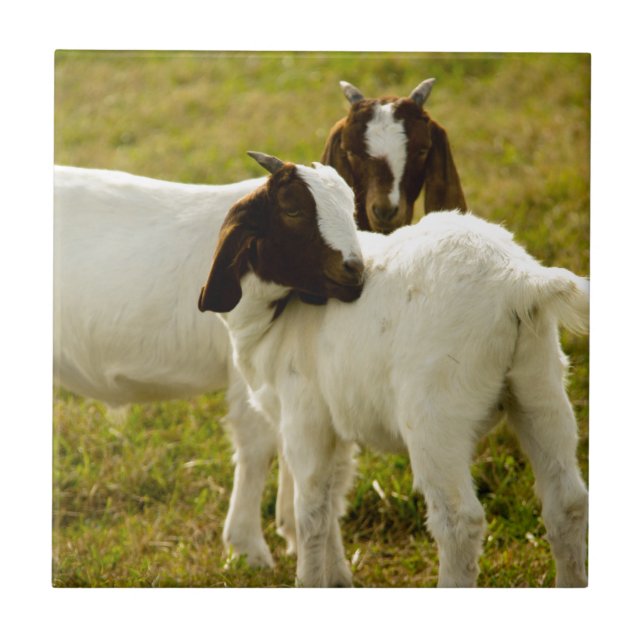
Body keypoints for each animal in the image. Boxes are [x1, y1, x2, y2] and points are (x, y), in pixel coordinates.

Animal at [199, 152, 589, 587]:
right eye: (293, 208)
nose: (355, 271)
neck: (273, 317)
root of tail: (517, 281)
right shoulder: (335, 426)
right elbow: (331, 504)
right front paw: (339, 579)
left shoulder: (305, 419)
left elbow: (311, 513)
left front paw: (310, 580)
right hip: (541, 386)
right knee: (567, 503)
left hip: (437, 417)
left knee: (459, 522)